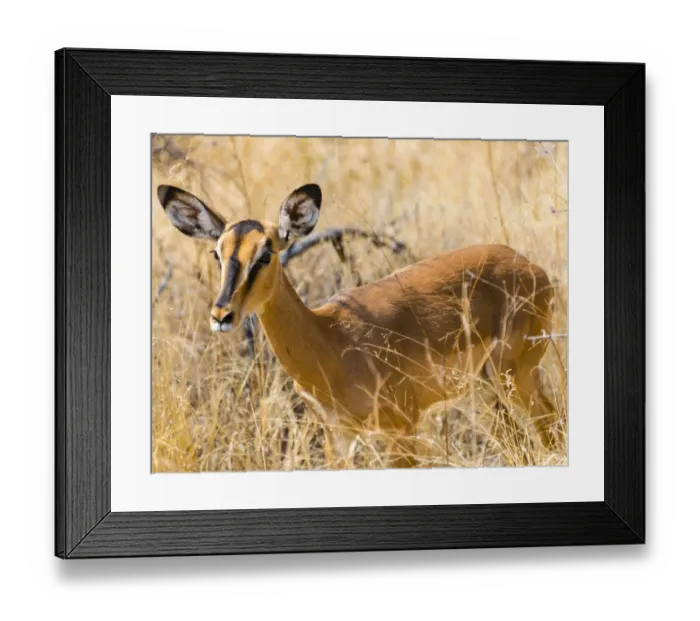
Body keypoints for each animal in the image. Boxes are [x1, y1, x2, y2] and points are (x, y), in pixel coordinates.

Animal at [157, 183, 560, 468]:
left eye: (266, 253)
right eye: (217, 252)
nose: (222, 315)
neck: (329, 341)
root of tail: (530, 265)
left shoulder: (402, 429)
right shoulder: (338, 437)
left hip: (516, 376)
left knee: (552, 424)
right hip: (488, 386)